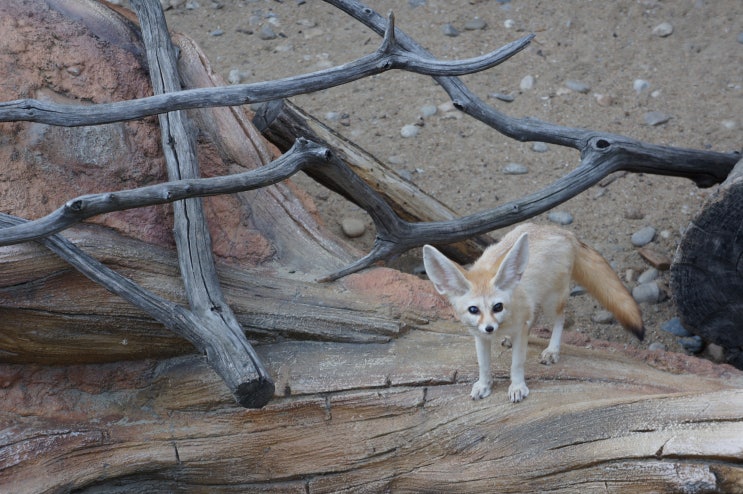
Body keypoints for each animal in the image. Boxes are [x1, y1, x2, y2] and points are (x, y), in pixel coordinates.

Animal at [424, 224, 644, 402]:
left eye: (498, 307)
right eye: (473, 310)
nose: (490, 328)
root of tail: (565, 232)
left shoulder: (518, 328)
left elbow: (517, 363)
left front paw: (517, 387)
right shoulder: (480, 336)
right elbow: (483, 365)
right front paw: (484, 385)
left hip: (552, 301)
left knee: (560, 319)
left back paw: (552, 350)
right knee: (535, 316)